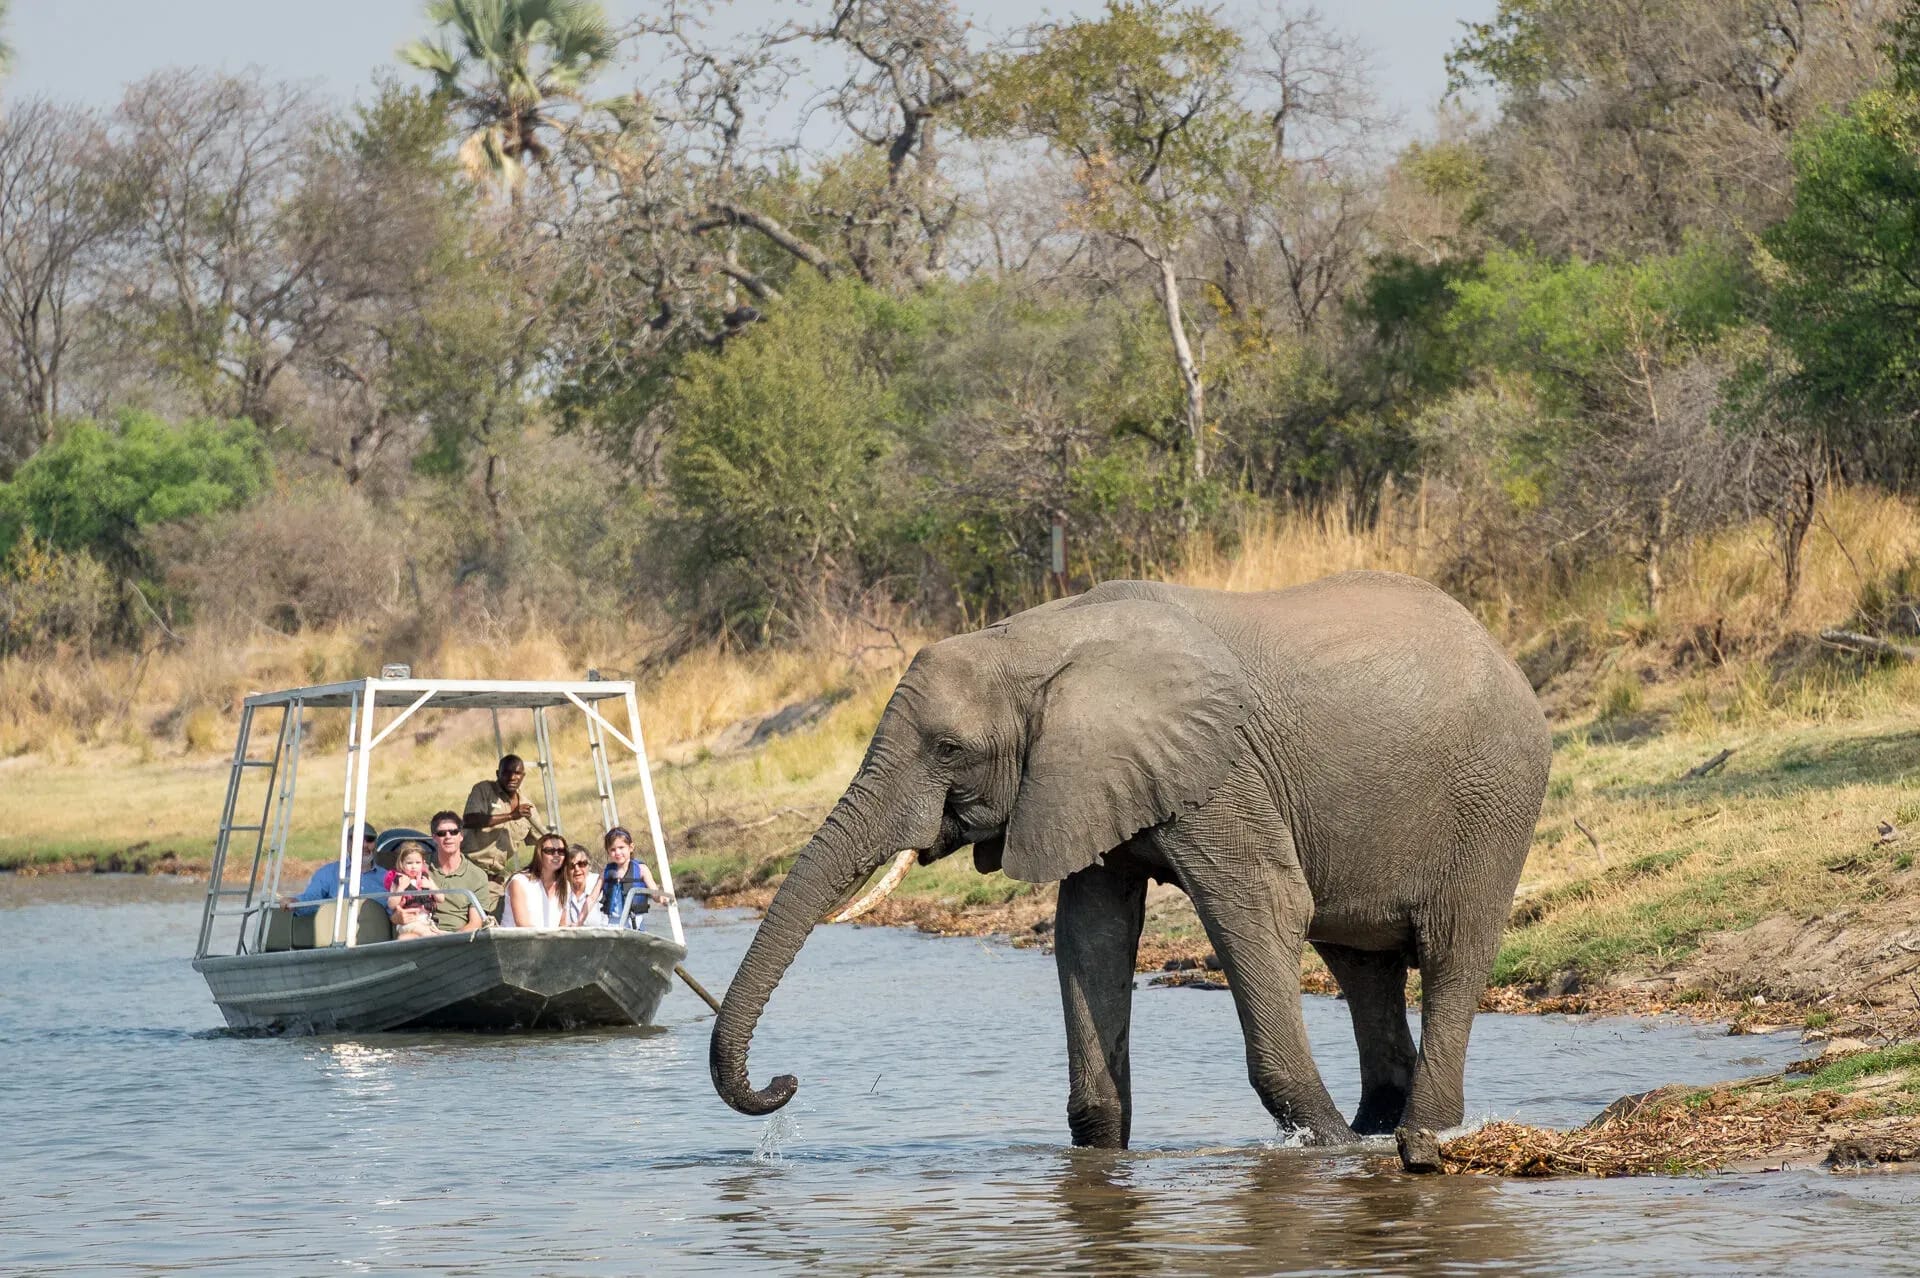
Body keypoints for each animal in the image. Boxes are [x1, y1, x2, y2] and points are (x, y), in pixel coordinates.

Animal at [709, 571, 1552, 1148]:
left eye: (948, 749)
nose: (785, 1080)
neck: (1036, 642)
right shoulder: (1083, 778)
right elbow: (1091, 935)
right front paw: (1102, 1151)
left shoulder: (1220, 774)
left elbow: (1262, 910)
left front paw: (1326, 1148)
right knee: (1359, 963)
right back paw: (1378, 1125)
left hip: (1496, 800)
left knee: (1450, 952)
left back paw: (1415, 1134)